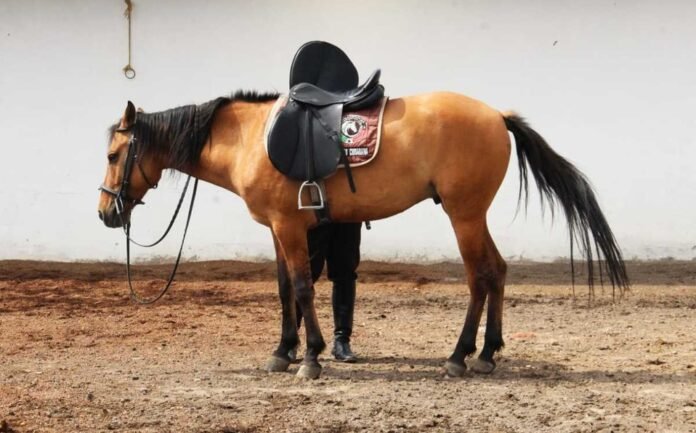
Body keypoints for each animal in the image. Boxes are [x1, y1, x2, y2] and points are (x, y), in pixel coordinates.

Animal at [97, 90, 629, 379]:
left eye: (112, 154)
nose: (105, 212)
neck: (251, 139)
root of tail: (497, 115)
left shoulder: (289, 226)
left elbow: (304, 287)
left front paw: (311, 357)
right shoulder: (277, 229)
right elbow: (285, 289)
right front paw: (283, 351)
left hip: (464, 215)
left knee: (479, 276)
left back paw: (459, 356)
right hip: (474, 215)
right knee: (497, 271)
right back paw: (487, 354)